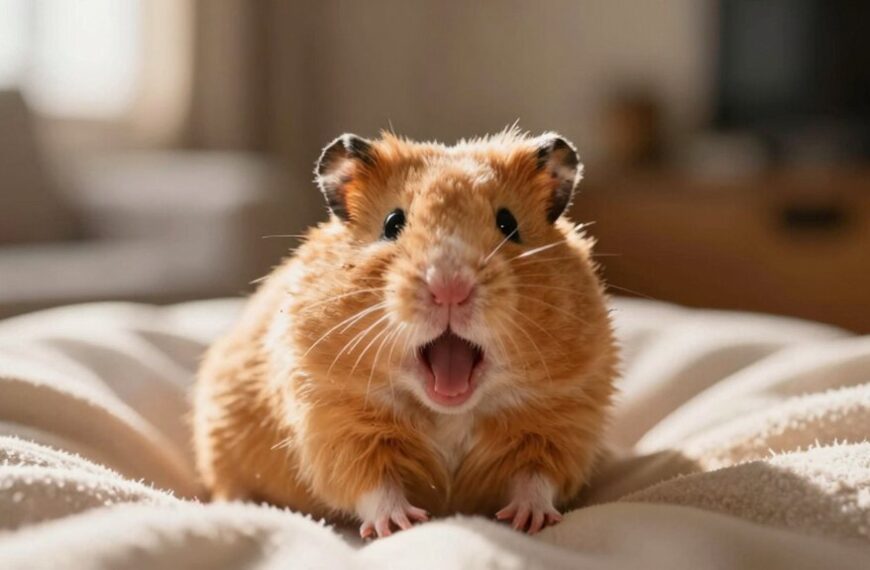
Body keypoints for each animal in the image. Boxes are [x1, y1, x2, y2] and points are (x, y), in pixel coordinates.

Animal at [193, 128, 618, 538]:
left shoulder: (561, 422)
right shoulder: (336, 424)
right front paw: (401, 524)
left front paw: (528, 521)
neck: (448, 410)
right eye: (392, 223)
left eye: (508, 224)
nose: (449, 287)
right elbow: (374, 485)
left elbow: (537, 477)